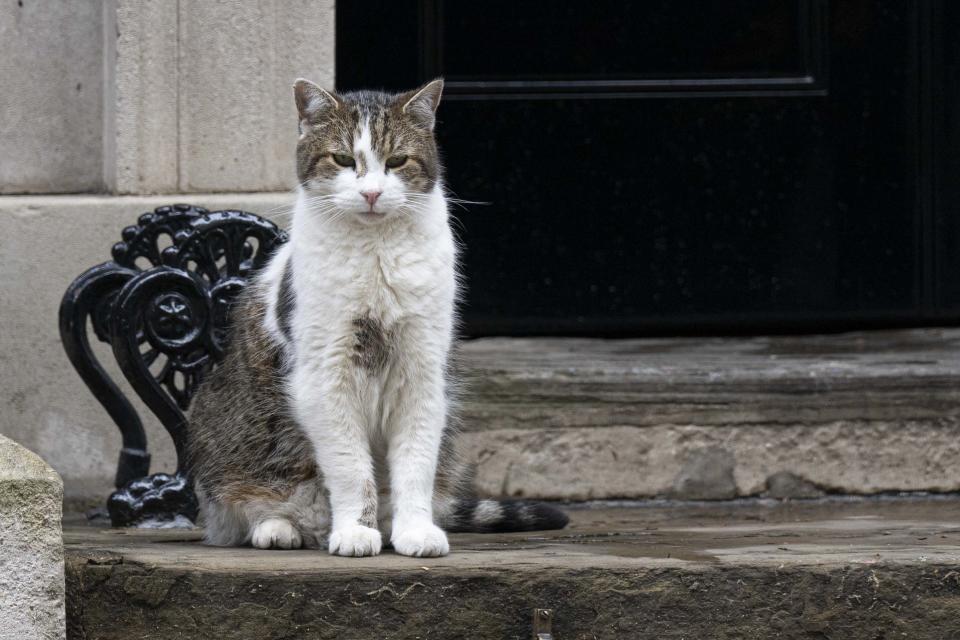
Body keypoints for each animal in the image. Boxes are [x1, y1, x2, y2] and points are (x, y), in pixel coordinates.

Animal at [184, 77, 568, 556]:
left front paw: (415, 531)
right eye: (344, 160)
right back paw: (280, 528)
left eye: (397, 161)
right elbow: (351, 469)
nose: (370, 193)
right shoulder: (327, 376)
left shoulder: (422, 372)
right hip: (215, 423)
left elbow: (416, 467)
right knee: (248, 507)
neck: (376, 252)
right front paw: (353, 531)